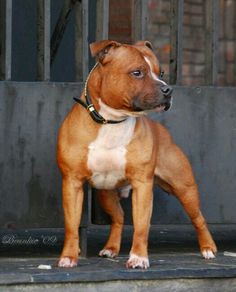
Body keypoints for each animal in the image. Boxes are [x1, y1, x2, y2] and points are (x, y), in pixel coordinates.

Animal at [56, 40, 217, 268]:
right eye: (137, 72)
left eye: (161, 72)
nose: (168, 89)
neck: (112, 121)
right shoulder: (72, 183)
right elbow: (71, 225)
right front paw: (69, 257)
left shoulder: (143, 185)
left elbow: (141, 226)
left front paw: (139, 258)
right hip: (105, 193)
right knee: (119, 217)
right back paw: (111, 248)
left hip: (184, 188)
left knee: (198, 218)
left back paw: (208, 248)